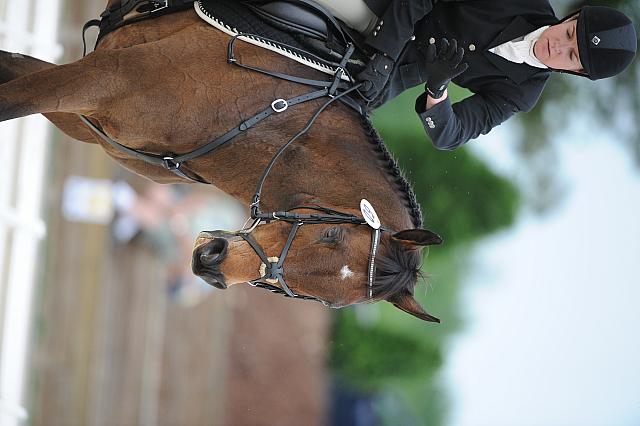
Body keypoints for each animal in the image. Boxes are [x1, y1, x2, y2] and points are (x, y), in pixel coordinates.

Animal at [1, 0, 444, 322]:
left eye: (320, 300)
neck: (267, 122)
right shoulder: (99, 79)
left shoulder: (81, 116)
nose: (208, 264)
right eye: (330, 235)